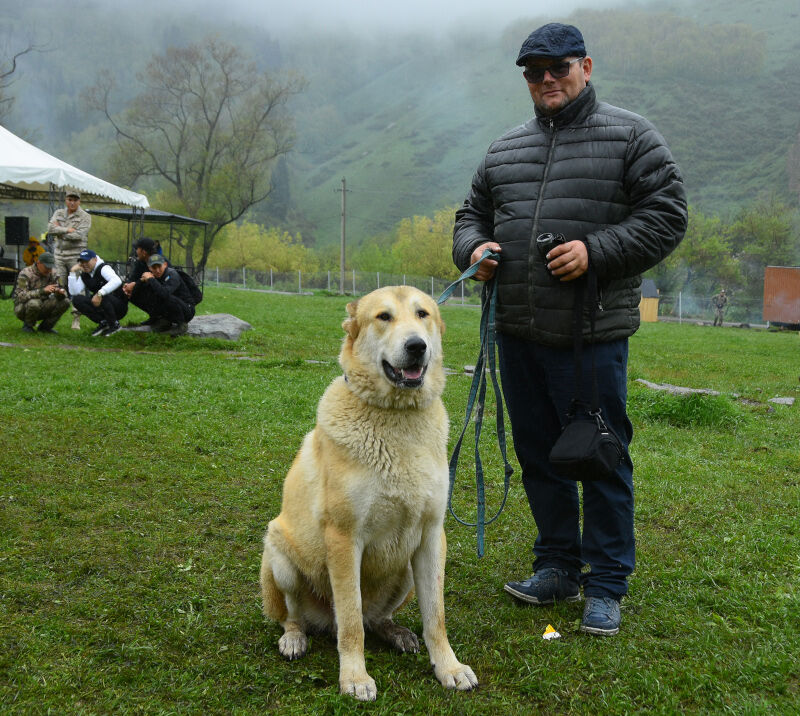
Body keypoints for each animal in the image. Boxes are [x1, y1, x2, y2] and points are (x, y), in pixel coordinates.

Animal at [260, 284, 478, 700]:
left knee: (376, 618)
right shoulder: (344, 540)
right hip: (280, 555)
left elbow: (435, 618)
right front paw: (355, 677)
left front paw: (448, 667)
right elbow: (350, 623)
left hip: (405, 568)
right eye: (383, 317)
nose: (416, 346)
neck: (396, 416)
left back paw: (395, 631)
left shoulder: (431, 537)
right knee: (297, 616)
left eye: (423, 314)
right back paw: (295, 638)